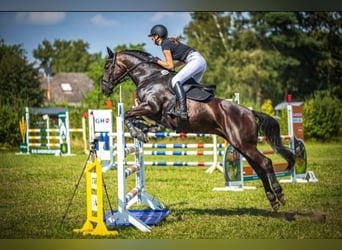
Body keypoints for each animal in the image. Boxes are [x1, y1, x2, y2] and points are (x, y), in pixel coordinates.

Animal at [101, 47, 294, 211]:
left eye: (108, 66)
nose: (104, 89)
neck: (149, 77)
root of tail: (249, 111)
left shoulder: (150, 106)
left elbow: (127, 115)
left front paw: (139, 132)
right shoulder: (150, 111)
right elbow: (133, 117)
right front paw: (145, 130)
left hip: (244, 145)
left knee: (266, 163)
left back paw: (280, 194)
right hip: (241, 146)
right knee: (260, 169)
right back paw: (273, 200)